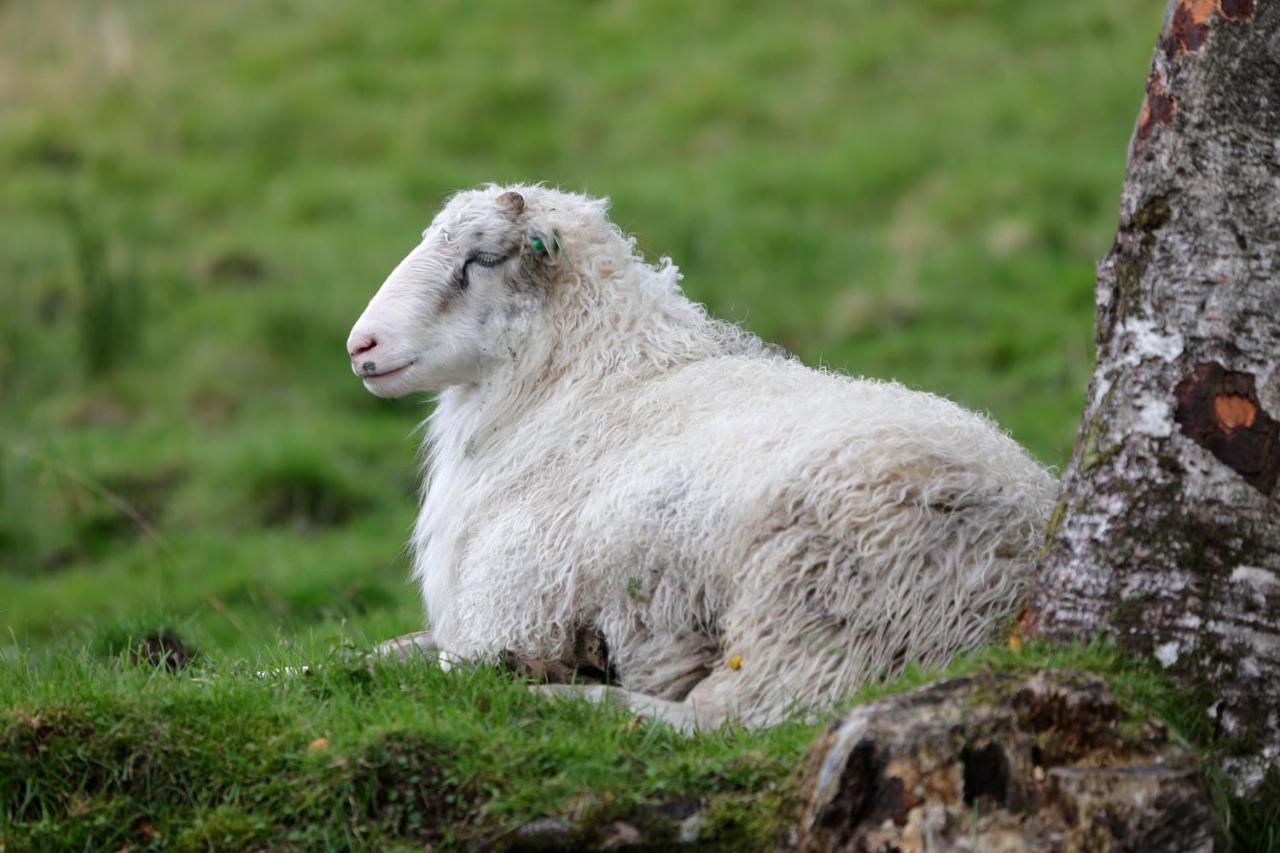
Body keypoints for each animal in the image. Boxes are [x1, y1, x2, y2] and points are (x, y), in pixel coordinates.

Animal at [345, 183, 1054, 727]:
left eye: (482, 257)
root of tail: (1025, 538)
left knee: (739, 719)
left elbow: (432, 665)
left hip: (817, 603)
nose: (360, 345)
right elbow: (378, 649)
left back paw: (568, 696)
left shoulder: (511, 609)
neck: (584, 381)